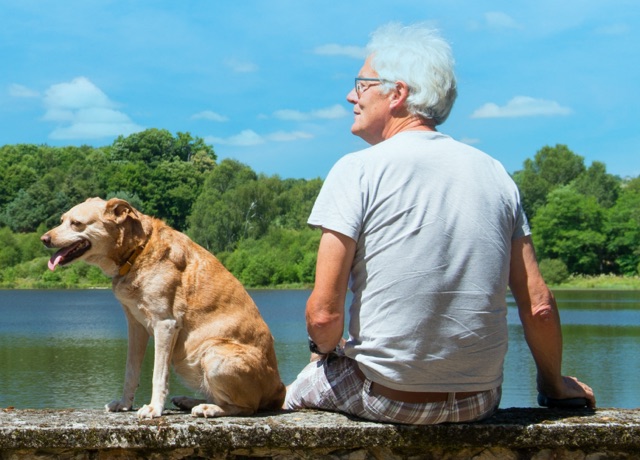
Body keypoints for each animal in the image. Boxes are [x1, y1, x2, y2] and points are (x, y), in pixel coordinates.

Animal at [41, 196, 286, 418]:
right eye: (62, 220)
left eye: (76, 223)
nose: (44, 239)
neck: (137, 251)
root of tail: (279, 390)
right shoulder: (135, 326)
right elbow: (131, 371)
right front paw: (124, 403)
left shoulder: (165, 325)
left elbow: (158, 374)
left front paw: (154, 408)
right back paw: (189, 401)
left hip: (213, 354)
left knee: (246, 407)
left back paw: (208, 408)